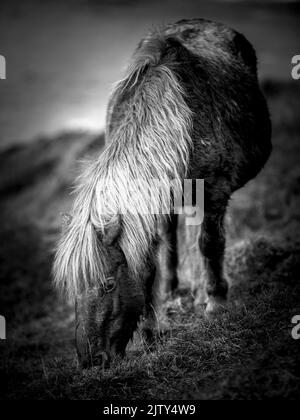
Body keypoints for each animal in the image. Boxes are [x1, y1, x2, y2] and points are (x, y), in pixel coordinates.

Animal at [53, 19, 272, 368]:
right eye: (74, 289)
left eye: (109, 285)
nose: (91, 361)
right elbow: (150, 264)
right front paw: (152, 333)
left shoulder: (215, 192)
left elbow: (210, 245)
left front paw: (216, 304)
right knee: (169, 239)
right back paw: (171, 291)